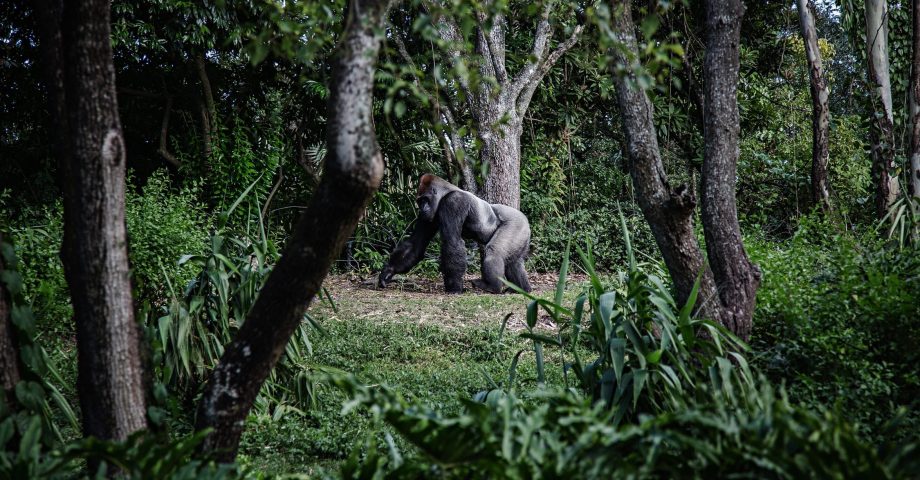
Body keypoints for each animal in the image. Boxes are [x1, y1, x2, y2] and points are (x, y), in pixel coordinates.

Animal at [376, 172, 532, 292]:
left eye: (425, 199)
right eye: (419, 201)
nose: (422, 208)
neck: (446, 192)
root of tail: (525, 219)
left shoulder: (453, 202)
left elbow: (451, 241)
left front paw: (454, 287)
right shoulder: (428, 216)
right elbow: (416, 244)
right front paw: (388, 271)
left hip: (516, 223)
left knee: (494, 251)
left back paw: (492, 286)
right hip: (522, 233)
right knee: (514, 262)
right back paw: (522, 289)